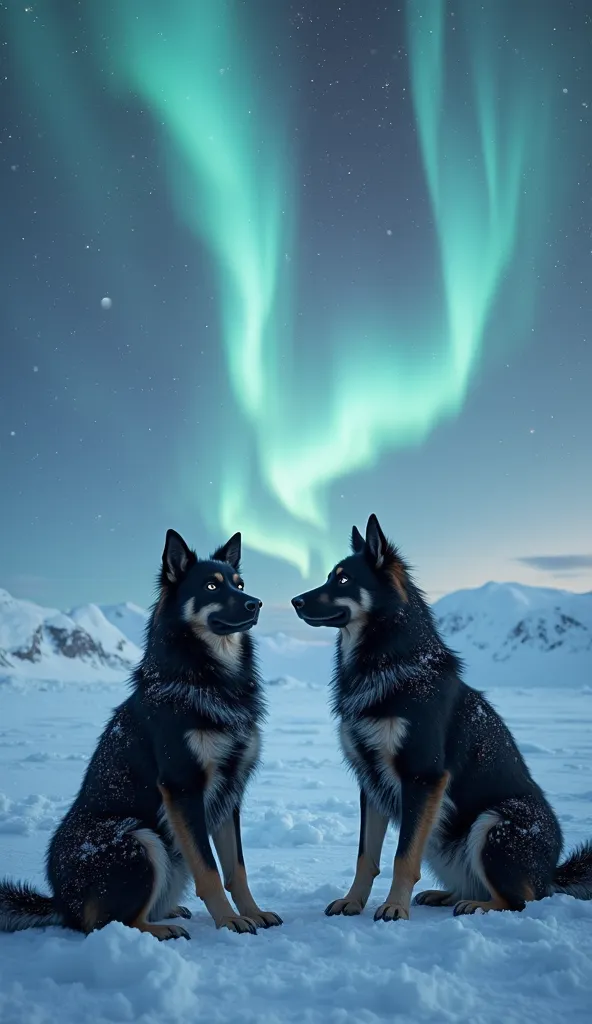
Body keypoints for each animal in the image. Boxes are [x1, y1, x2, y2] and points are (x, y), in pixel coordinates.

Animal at [0, 532, 280, 937]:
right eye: (211, 586)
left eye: (239, 584)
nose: (255, 603)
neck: (208, 678)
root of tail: (60, 903)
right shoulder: (183, 787)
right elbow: (209, 871)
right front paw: (228, 920)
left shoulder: (231, 793)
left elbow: (236, 869)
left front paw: (252, 912)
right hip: (138, 838)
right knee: (108, 922)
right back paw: (159, 930)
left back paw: (168, 913)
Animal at [290, 512, 589, 921]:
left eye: (344, 579)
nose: (294, 601)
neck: (390, 662)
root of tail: (552, 874)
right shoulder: (371, 783)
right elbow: (366, 856)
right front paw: (353, 901)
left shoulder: (422, 777)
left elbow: (403, 857)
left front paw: (393, 908)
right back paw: (444, 895)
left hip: (494, 823)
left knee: (519, 900)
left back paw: (475, 905)